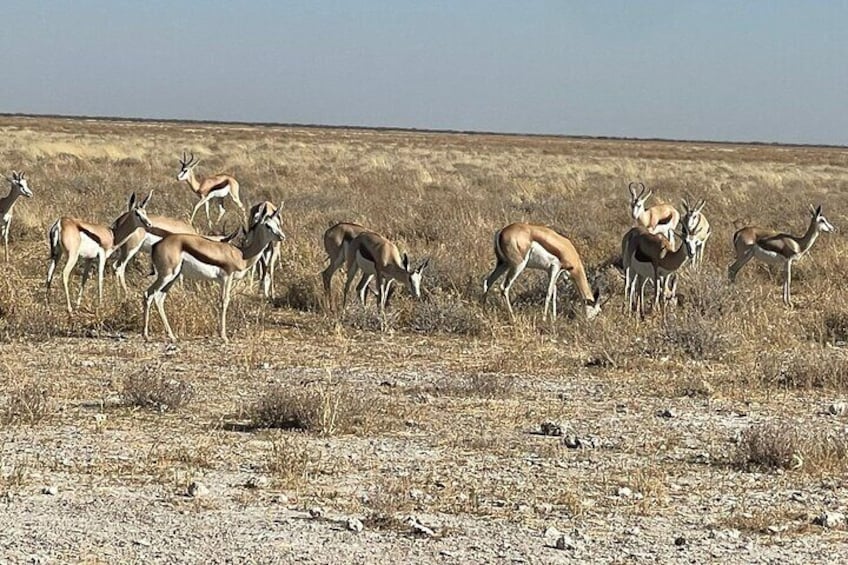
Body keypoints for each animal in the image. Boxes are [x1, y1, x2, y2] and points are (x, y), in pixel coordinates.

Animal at [143, 204, 286, 342]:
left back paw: (171, 336)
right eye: (267, 225)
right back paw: (146, 336)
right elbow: (224, 301)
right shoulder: (227, 277)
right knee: (149, 294)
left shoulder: (223, 281)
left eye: (277, 224)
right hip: (166, 276)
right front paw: (224, 336)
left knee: (159, 298)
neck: (241, 255)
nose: (282, 236)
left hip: (173, 277)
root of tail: (156, 245)